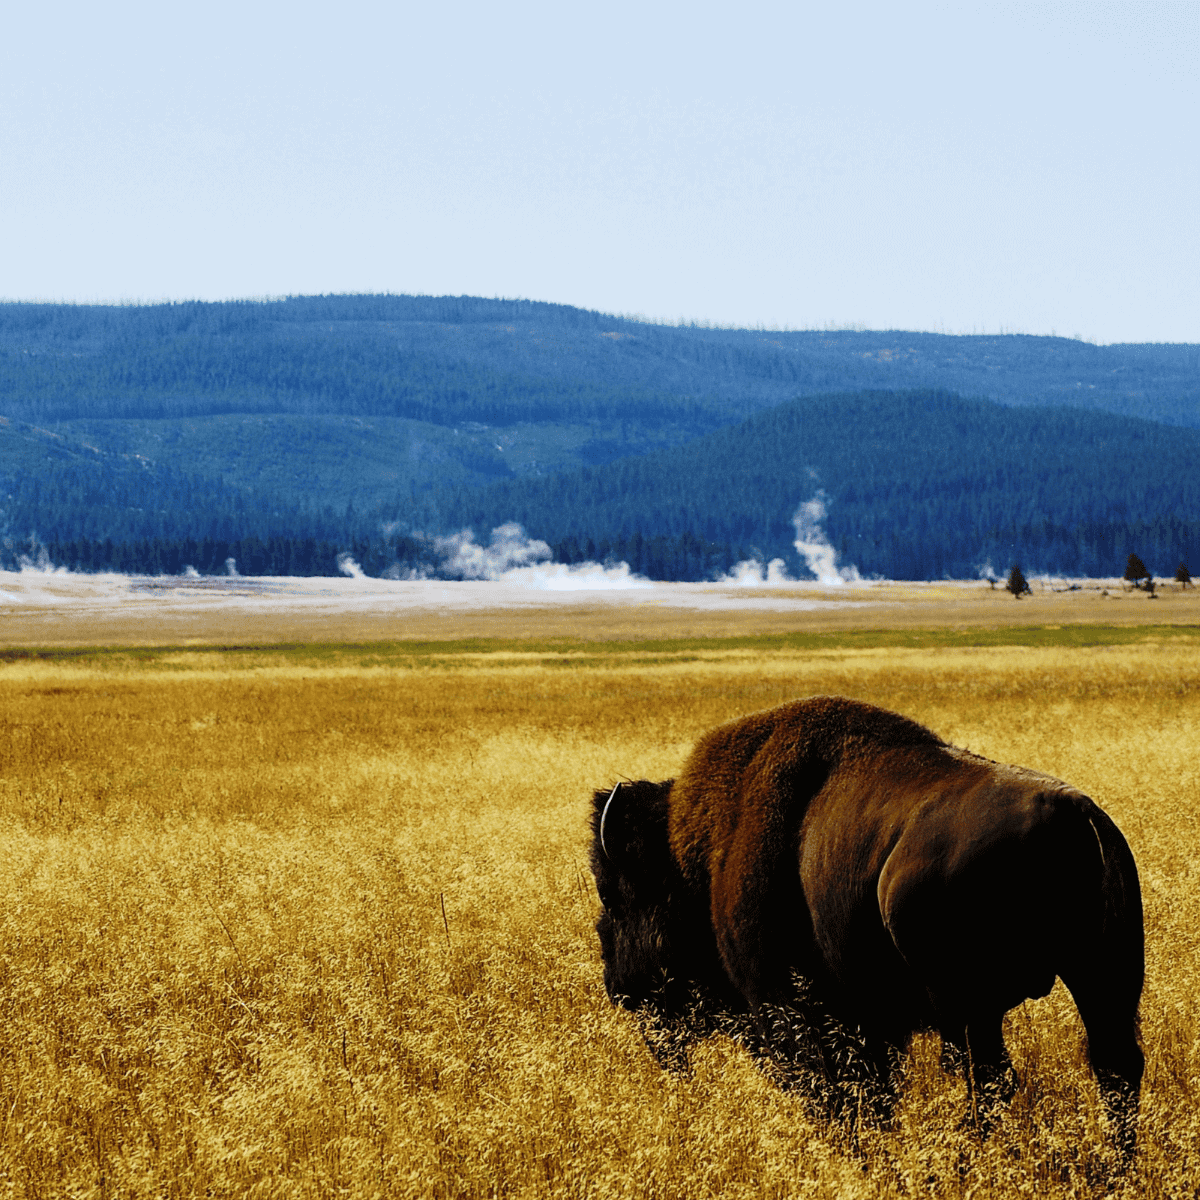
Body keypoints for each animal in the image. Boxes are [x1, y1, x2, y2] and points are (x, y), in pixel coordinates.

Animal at [590, 700, 1142, 1156]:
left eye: (615, 898)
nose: (618, 989)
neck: (696, 862)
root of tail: (1074, 816)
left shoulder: (792, 1011)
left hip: (971, 1007)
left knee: (992, 1080)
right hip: (1103, 979)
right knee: (1114, 1068)